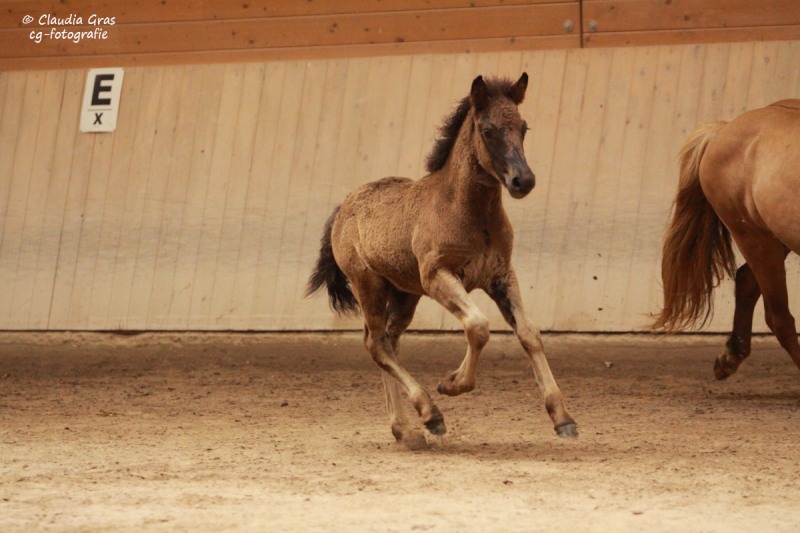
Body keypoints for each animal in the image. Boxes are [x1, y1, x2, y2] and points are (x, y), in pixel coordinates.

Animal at [306, 73, 577, 449]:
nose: (523, 180)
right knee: (376, 343)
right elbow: (477, 326)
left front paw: (563, 418)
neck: (469, 212)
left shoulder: (502, 276)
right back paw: (429, 414)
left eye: (524, 127)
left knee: (389, 341)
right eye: (488, 129)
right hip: (368, 285)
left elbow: (529, 333)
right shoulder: (438, 276)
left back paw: (405, 430)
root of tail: (343, 208)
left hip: (404, 294)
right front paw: (450, 384)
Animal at [653, 100, 800, 379]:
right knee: (778, 317)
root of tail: (723, 129)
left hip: (775, 238)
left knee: (747, 282)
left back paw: (730, 357)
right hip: (753, 235)